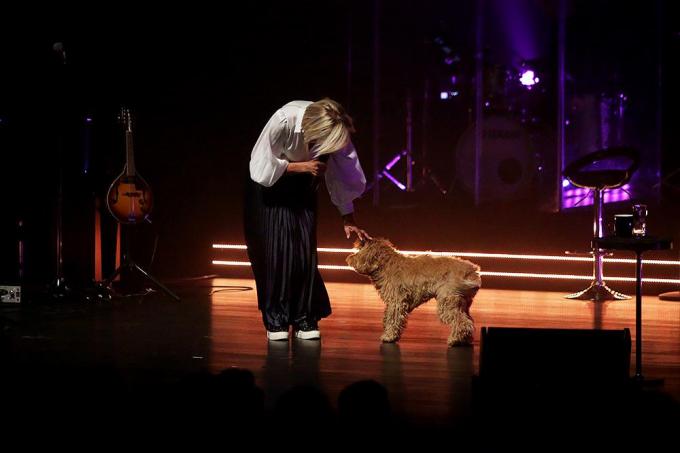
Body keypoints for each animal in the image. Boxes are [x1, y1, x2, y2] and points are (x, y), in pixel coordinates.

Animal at [346, 240, 484, 346]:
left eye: (360, 250)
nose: (349, 257)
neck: (385, 264)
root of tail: (472, 271)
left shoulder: (396, 302)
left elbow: (393, 319)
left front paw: (389, 336)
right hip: (463, 303)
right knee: (468, 321)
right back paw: (464, 340)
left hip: (448, 302)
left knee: (462, 322)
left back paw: (455, 340)